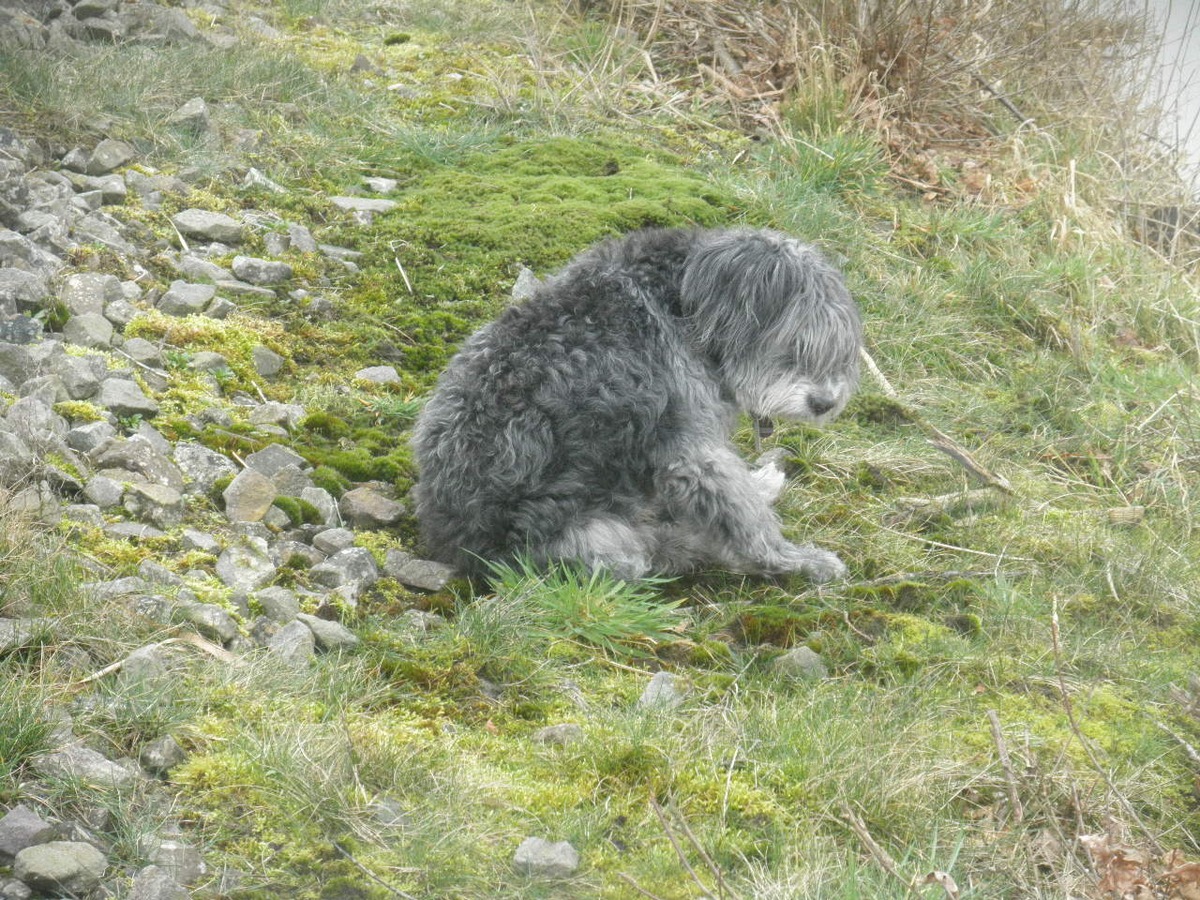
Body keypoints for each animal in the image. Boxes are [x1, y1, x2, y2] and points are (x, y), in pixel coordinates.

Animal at [412, 224, 864, 578]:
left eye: (839, 349)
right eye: (796, 343)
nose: (825, 403)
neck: (684, 303)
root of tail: (463, 547)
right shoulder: (691, 453)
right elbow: (744, 520)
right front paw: (795, 561)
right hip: (602, 541)